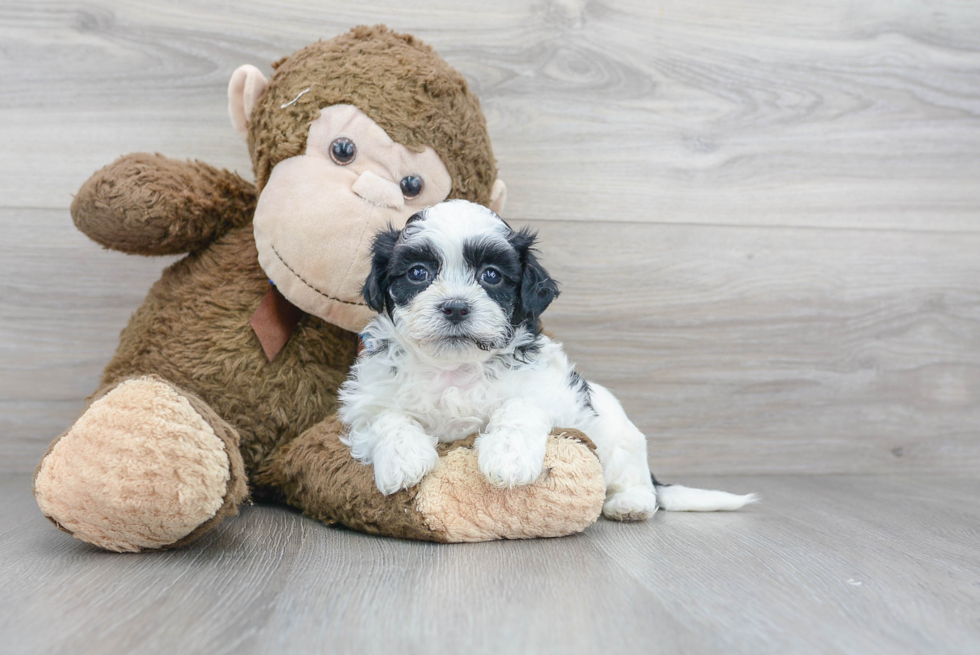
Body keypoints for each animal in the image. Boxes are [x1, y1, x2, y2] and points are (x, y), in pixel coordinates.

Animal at [338, 202, 756, 520]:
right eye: (417, 273)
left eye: (491, 275)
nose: (456, 307)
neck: (456, 367)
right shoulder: (366, 401)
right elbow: (388, 417)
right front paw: (403, 459)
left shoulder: (548, 391)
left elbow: (519, 408)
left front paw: (507, 457)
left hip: (619, 440)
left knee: (638, 483)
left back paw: (630, 504)